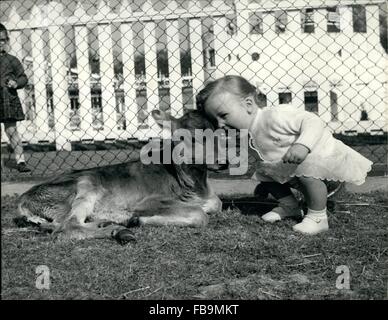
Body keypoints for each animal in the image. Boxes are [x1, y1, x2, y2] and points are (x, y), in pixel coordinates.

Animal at [15, 110, 223, 245]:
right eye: (191, 138)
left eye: (217, 134)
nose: (223, 161)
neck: (194, 185)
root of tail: (23, 198)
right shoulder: (147, 202)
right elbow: (200, 215)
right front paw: (138, 220)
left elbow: (217, 203)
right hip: (87, 183)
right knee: (68, 227)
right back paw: (119, 229)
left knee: (59, 224)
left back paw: (111, 223)